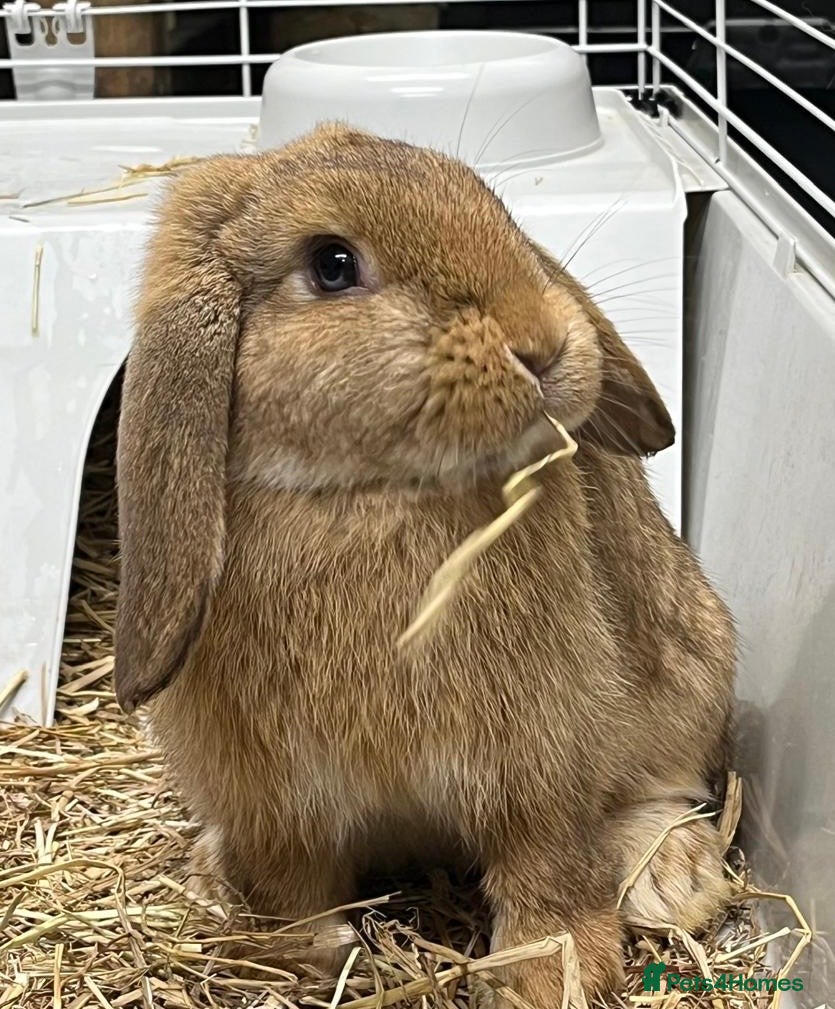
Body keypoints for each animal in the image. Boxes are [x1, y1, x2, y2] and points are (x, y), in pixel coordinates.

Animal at [114, 122, 735, 1004]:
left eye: (490, 203)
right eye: (332, 264)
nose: (543, 343)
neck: (369, 492)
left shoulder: (537, 761)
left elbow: (548, 867)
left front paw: (548, 976)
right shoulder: (276, 800)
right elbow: (290, 884)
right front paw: (303, 956)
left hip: (692, 675)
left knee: (666, 786)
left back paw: (670, 879)